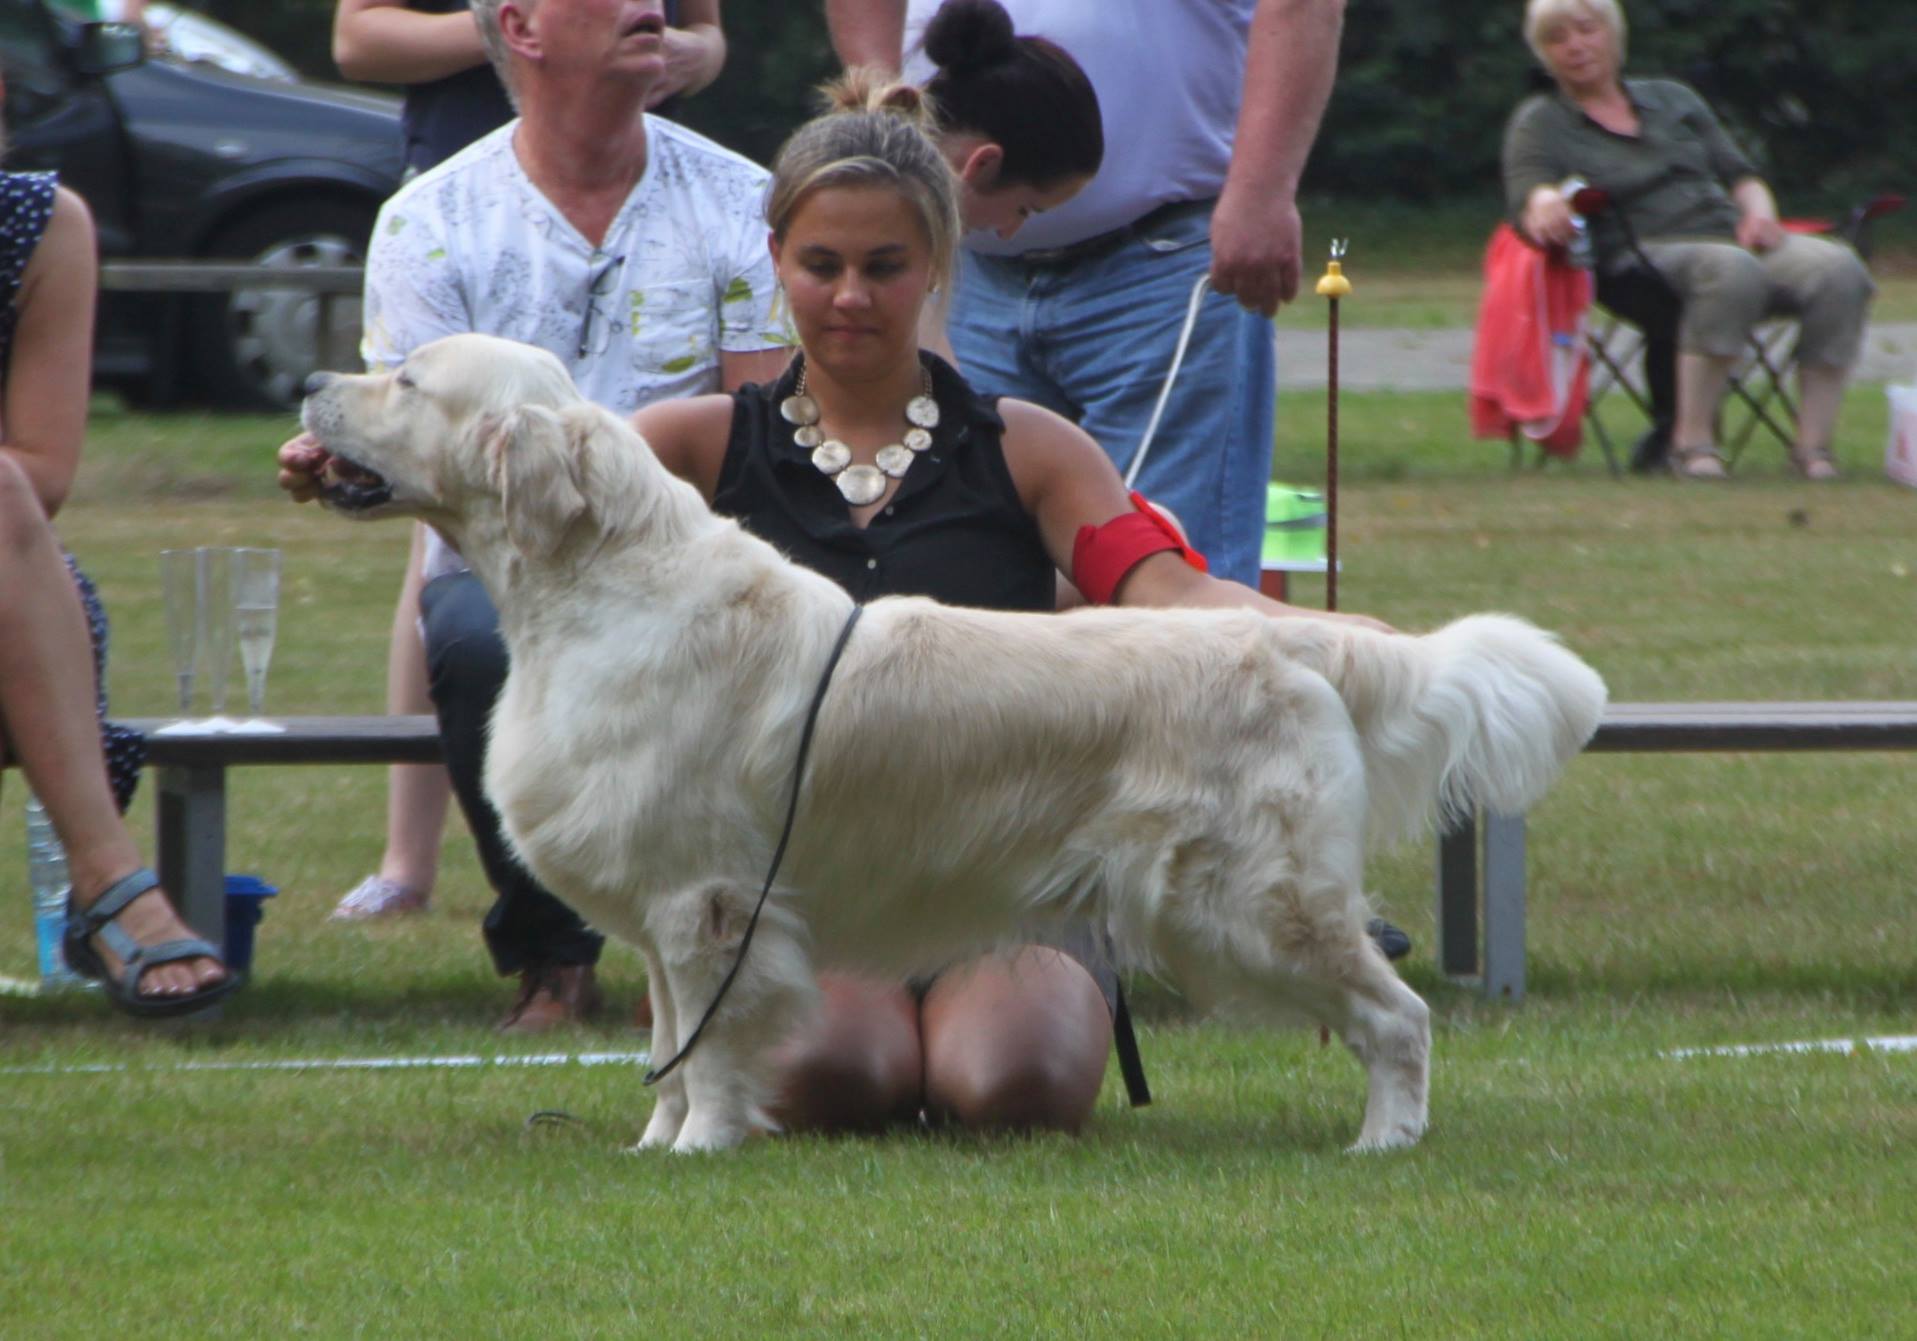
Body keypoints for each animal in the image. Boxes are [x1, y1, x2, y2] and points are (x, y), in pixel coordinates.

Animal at [302, 333, 1617, 1149]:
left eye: (408, 378)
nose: (314, 380)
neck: (595, 589)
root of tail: (1290, 638)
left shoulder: (707, 903)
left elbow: (711, 1047)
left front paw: (703, 1143)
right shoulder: (668, 907)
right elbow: (670, 1042)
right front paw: (656, 1140)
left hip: (1257, 899)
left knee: (1401, 1017)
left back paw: (1386, 1140)